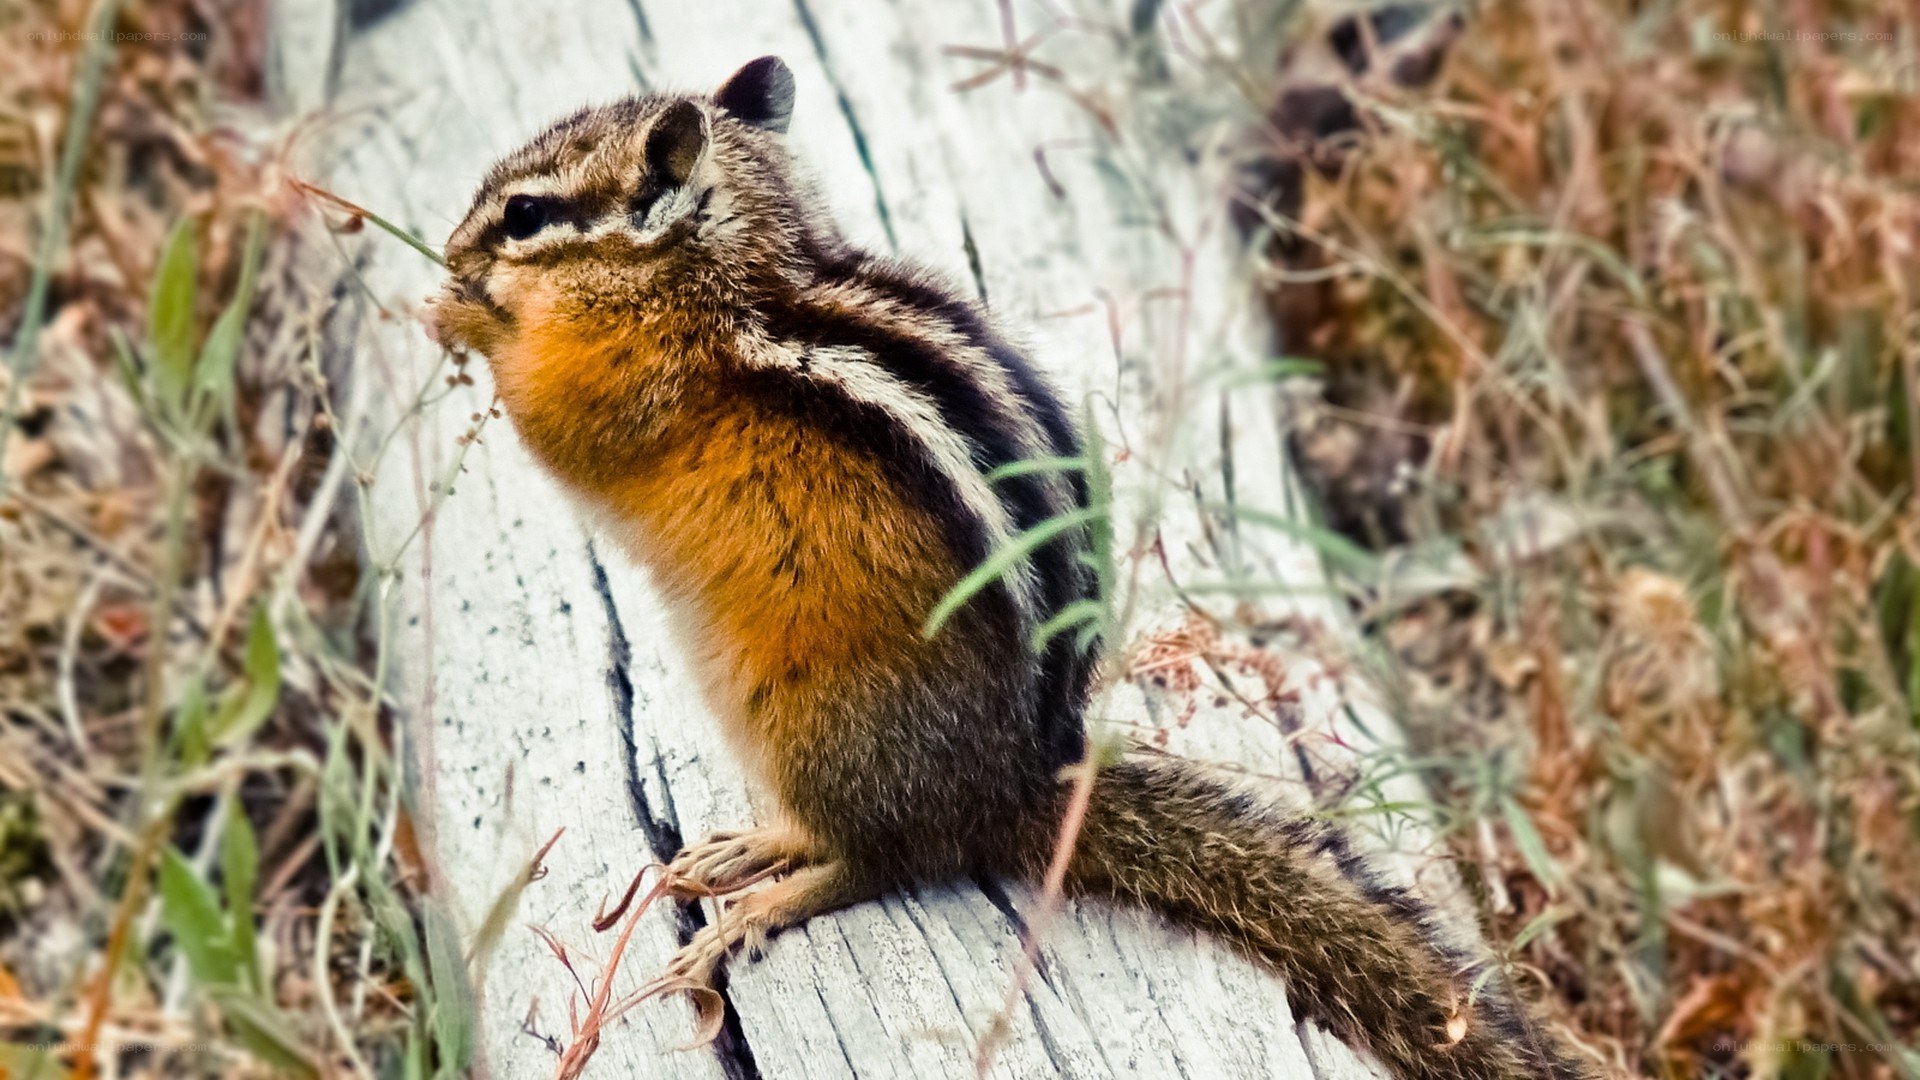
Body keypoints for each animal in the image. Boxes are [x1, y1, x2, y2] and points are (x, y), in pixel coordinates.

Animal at [424, 56, 1595, 1080]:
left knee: (882, 858)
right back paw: (744, 850)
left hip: (807, 720)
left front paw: (466, 313)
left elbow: (558, 421)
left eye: (525, 214)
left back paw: (761, 900)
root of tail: (1018, 788)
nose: (447, 247)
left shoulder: (632, 380)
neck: (734, 264)